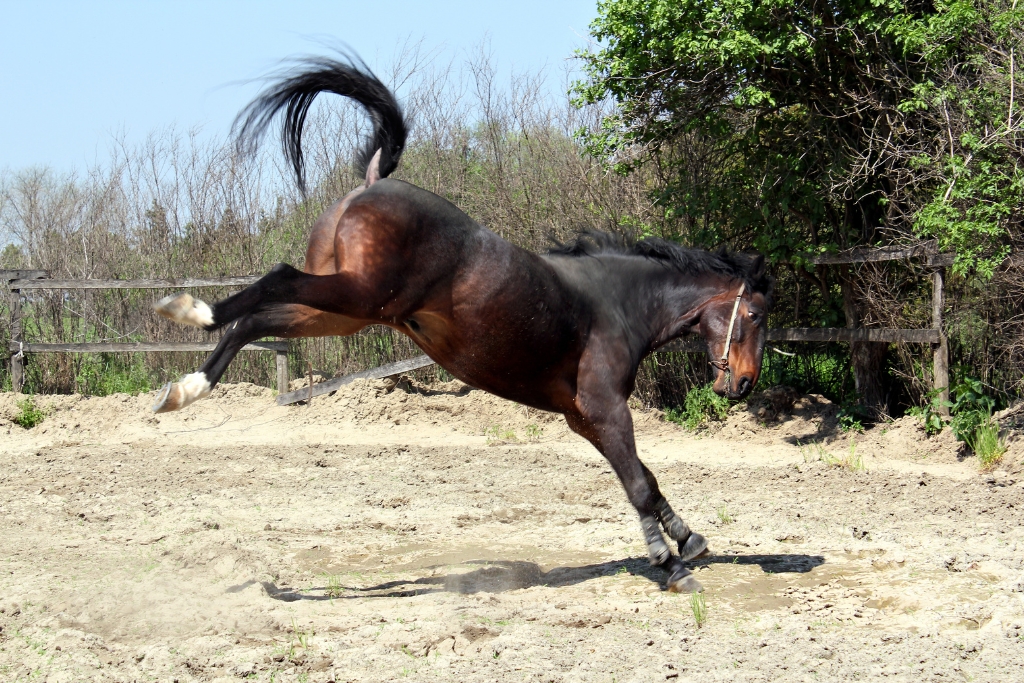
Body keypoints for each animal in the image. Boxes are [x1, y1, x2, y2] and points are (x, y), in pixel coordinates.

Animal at [151, 56, 770, 593]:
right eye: (757, 314)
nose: (743, 384)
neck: (615, 304)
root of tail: (373, 182)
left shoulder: (585, 420)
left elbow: (646, 478)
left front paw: (689, 540)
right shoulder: (605, 410)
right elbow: (638, 482)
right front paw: (673, 565)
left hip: (341, 311)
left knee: (256, 321)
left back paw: (184, 389)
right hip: (354, 295)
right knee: (272, 282)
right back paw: (190, 314)